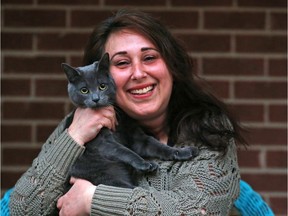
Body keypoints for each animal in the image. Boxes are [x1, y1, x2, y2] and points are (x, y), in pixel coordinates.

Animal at [62, 53, 199, 188]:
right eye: (84, 90)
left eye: (102, 86)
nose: (96, 99)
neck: (118, 124)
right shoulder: (102, 143)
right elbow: (125, 151)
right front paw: (146, 164)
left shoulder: (136, 136)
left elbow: (157, 145)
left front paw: (184, 151)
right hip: (108, 175)